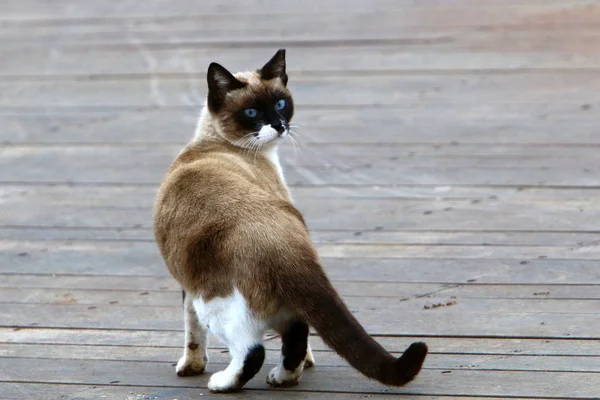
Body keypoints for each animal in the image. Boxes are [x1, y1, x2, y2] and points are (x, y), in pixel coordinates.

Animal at [154, 50, 426, 394]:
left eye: (281, 103)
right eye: (252, 111)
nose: (279, 125)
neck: (215, 143)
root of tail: (282, 242)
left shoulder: (190, 289)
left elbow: (193, 330)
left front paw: (192, 368)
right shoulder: (187, 287)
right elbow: (193, 332)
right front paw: (191, 366)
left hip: (213, 300)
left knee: (253, 350)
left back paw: (226, 383)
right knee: (295, 332)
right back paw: (284, 377)